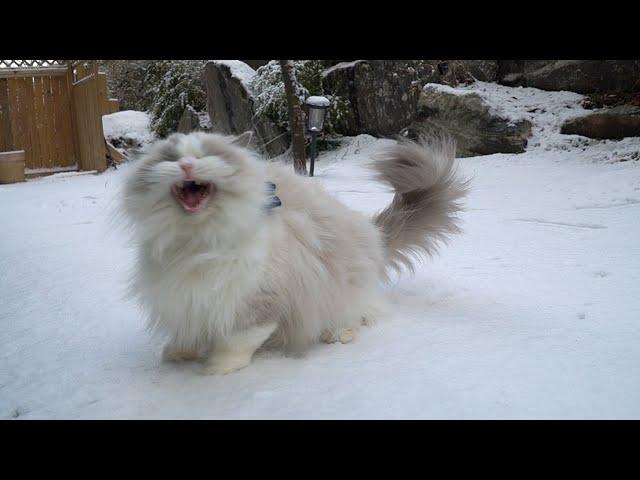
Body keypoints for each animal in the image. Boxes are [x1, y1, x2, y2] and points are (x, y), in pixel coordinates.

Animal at [121, 131, 464, 376]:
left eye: (208, 156)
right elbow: (187, 328)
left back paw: (336, 334)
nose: (187, 165)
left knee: (363, 313)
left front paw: (217, 369)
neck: (197, 243)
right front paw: (180, 353)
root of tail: (373, 234)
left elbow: (239, 341)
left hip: (342, 288)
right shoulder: (183, 294)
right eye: (170, 159)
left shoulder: (259, 299)